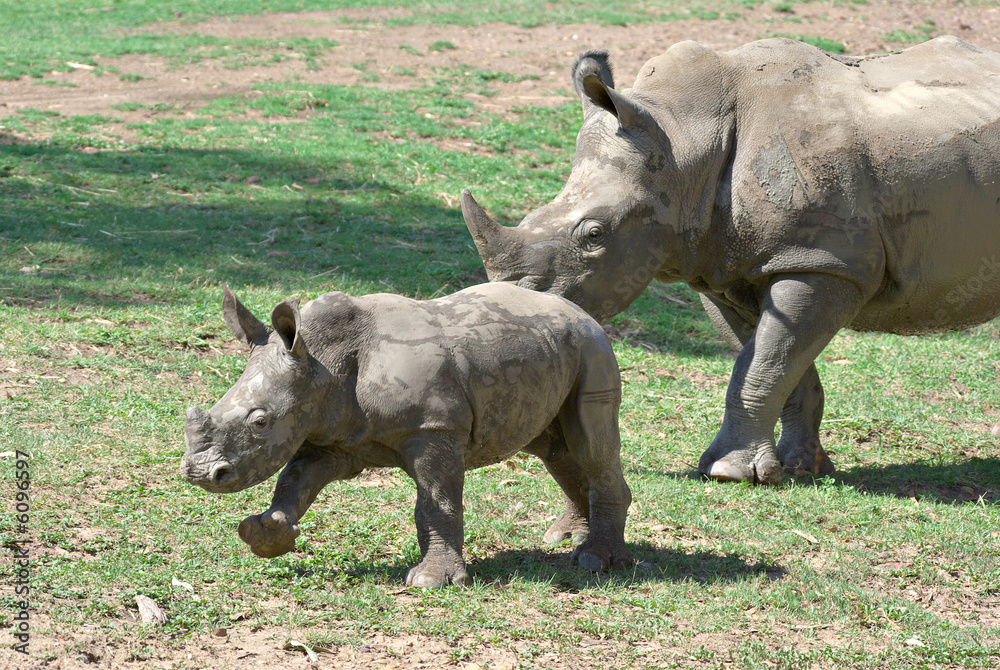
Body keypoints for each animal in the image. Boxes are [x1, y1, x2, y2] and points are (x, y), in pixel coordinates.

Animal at [181, 283, 632, 588]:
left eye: (260, 422)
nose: (202, 474)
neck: (321, 361)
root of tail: (581, 311)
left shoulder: (434, 427)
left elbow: (436, 503)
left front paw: (432, 581)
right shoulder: (332, 434)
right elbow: (294, 482)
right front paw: (266, 532)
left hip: (592, 348)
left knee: (590, 445)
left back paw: (595, 561)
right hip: (549, 351)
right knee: (556, 451)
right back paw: (568, 537)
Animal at [461, 36, 1000, 484]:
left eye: (594, 235)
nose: (517, 318)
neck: (683, 140)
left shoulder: (823, 260)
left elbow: (765, 360)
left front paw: (727, 473)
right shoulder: (724, 265)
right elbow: (776, 358)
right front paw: (798, 469)